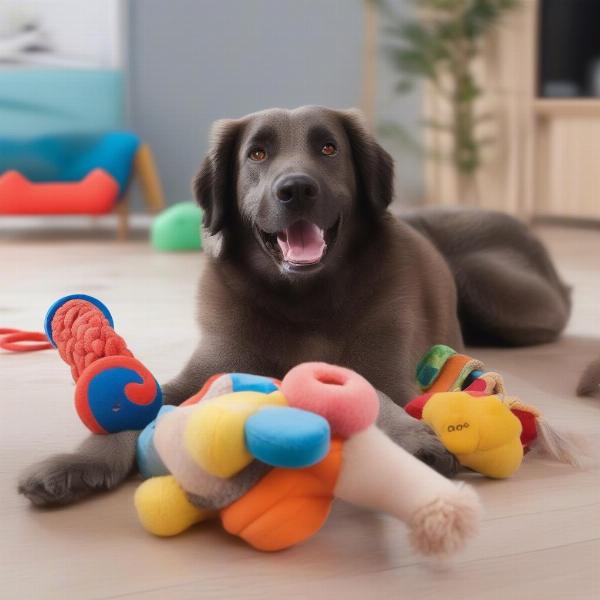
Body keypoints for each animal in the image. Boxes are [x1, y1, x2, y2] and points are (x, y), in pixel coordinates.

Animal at [18, 108, 572, 506]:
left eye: (328, 147)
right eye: (257, 153)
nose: (296, 188)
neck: (304, 300)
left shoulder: (393, 375)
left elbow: (373, 393)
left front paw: (414, 438)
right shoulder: (204, 369)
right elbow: (131, 410)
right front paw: (76, 464)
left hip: (489, 287)